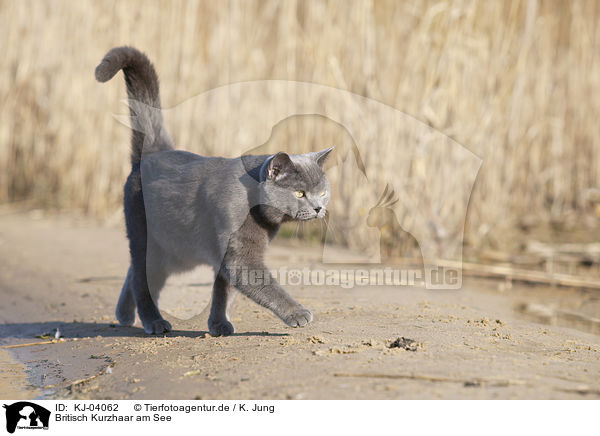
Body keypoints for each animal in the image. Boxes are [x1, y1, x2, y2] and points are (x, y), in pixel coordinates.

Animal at [96, 46, 336, 334]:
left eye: (323, 192)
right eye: (300, 193)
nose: (319, 208)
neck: (255, 206)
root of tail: (153, 152)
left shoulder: (229, 252)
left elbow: (224, 289)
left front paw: (219, 324)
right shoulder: (239, 250)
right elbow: (259, 282)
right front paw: (297, 313)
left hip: (177, 250)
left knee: (134, 273)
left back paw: (124, 314)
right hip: (150, 238)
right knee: (143, 278)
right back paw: (154, 321)